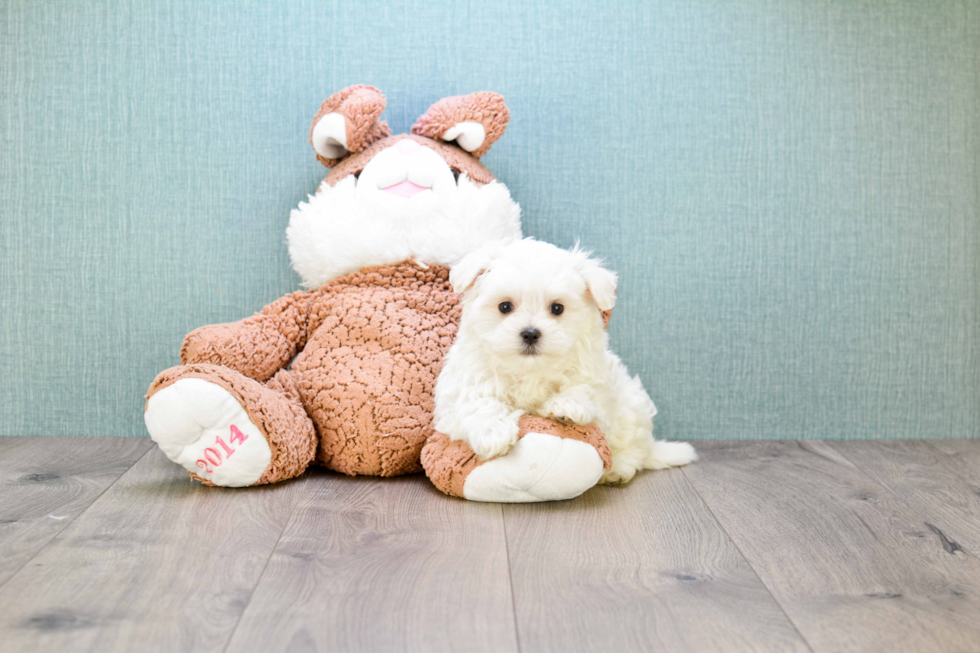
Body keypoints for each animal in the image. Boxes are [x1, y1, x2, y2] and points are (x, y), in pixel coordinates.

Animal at [436, 237, 696, 482]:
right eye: (505, 306)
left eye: (557, 308)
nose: (530, 333)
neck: (530, 370)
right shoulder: (458, 395)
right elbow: (477, 403)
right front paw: (494, 432)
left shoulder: (599, 388)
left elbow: (586, 391)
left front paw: (567, 405)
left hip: (632, 406)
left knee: (634, 449)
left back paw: (618, 470)